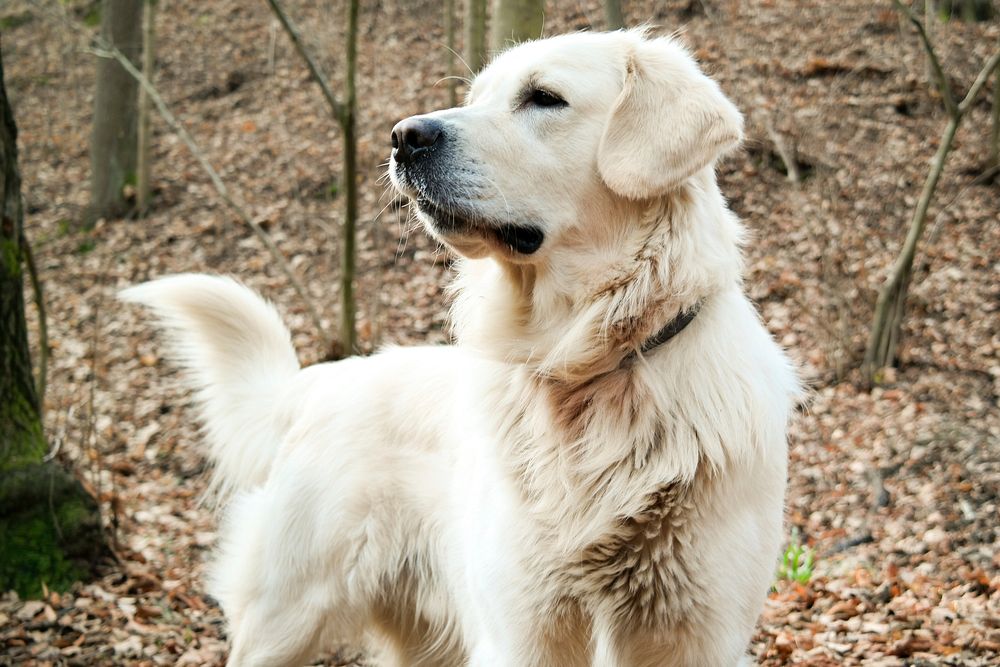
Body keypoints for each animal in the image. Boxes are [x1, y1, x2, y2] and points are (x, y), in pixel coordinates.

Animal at [125, 30, 796, 667]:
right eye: (475, 98)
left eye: (544, 97)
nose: (403, 136)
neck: (585, 370)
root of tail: (321, 380)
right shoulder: (525, 629)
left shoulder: (696, 632)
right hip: (284, 618)